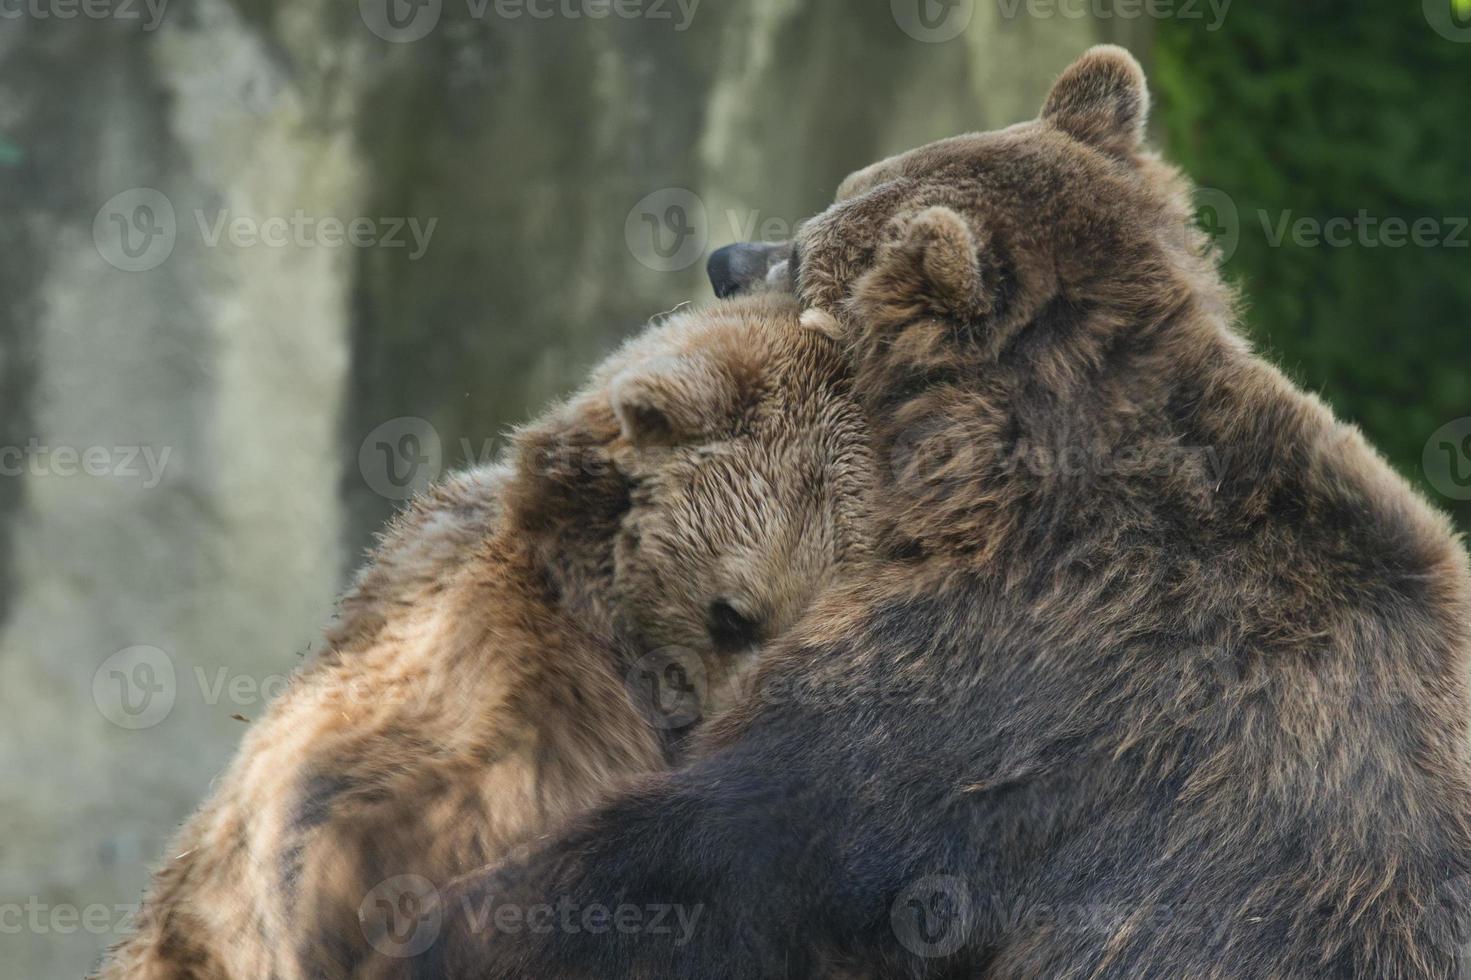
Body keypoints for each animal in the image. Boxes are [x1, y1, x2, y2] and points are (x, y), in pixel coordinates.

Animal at [388, 45, 1471, 977]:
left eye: (809, 251)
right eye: (832, 196)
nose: (725, 257)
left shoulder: (1022, 682)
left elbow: (732, 844)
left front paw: (444, 924)